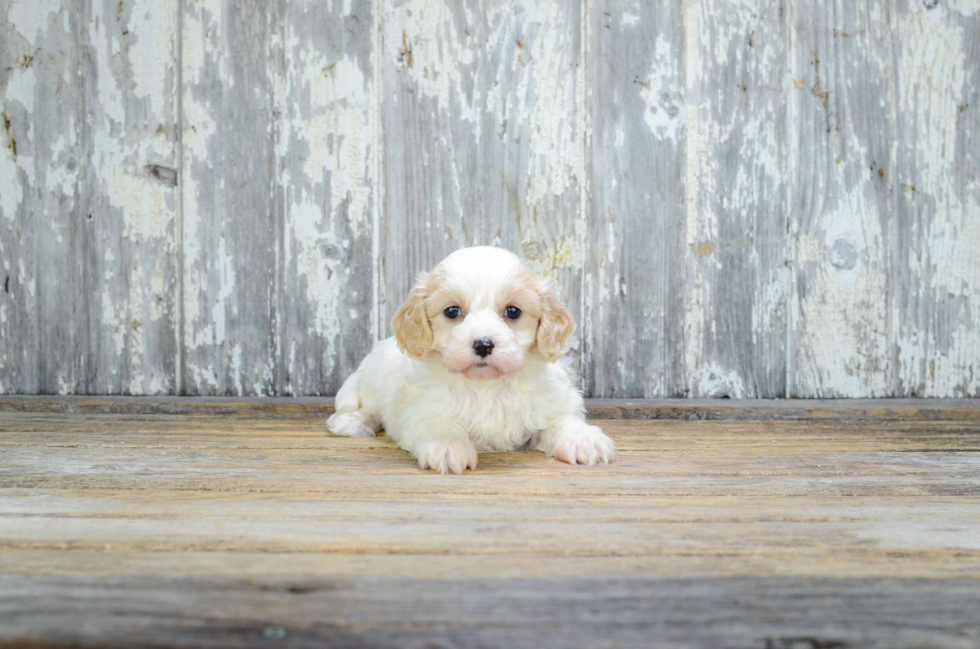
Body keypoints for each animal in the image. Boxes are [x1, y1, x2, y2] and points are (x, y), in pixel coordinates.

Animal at [330, 246, 620, 474]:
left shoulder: (553, 400)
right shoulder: (421, 409)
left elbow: (563, 418)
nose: (483, 344)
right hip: (373, 382)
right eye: (452, 311)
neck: (487, 385)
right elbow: (439, 424)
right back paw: (351, 421)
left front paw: (583, 438)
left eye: (513, 311)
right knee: (367, 407)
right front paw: (448, 447)